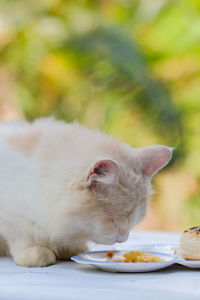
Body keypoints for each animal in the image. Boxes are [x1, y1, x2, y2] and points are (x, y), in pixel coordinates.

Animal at [0, 118, 173, 266]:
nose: (122, 239)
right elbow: (25, 236)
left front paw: (70, 250)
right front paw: (37, 255)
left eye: (134, 221)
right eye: (112, 221)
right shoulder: (13, 216)